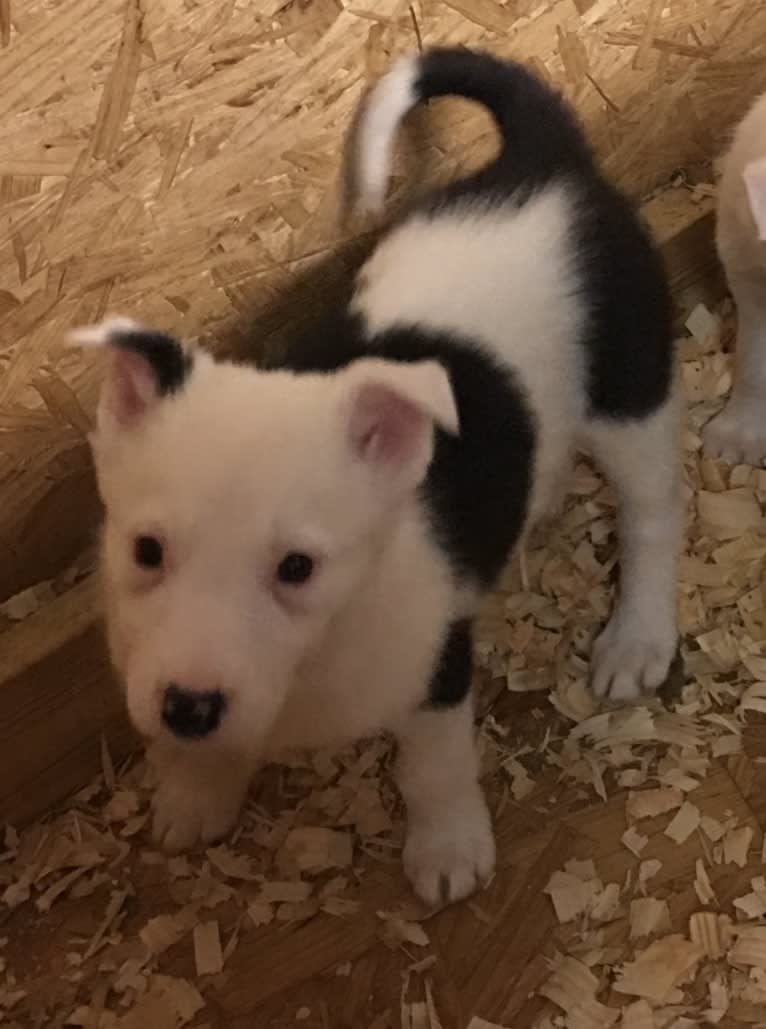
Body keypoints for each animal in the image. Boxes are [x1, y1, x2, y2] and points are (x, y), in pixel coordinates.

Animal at [72, 48, 683, 905]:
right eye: (145, 550)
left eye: (298, 567)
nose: (189, 707)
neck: (317, 657)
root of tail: (543, 166)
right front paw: (197, 790)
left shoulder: (435, 669)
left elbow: (435, 766)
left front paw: (448, 845)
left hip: (629, 391)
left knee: (653, 511)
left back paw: (638, 636)